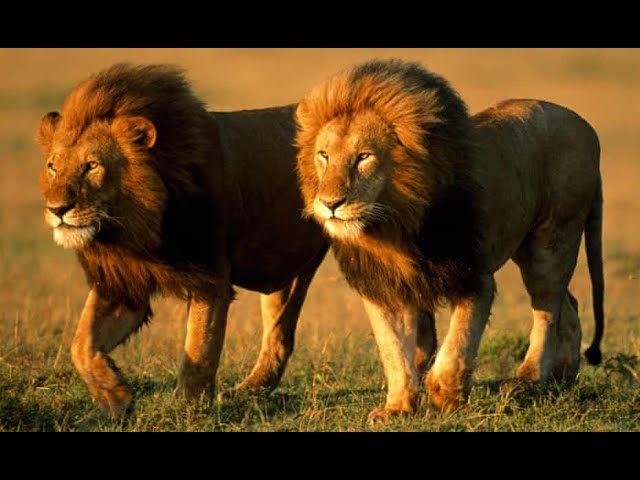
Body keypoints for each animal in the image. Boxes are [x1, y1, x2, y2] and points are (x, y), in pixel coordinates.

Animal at [36, 63, 333, 417]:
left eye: (91, 166)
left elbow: (198, 350)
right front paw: (116, 397)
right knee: (279, 337)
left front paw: (186, 408)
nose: (57, 209)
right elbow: (81, 343)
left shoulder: (210, 278)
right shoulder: (124, 281)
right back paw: (248, 392)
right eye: (53, 167)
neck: (135, 228)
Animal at [295, 59, 604, 421]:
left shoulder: (474, 277)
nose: (330, 203)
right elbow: (393, 352)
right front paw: (397, 407)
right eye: (323, 155)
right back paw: (562, 377)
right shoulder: (384, 287)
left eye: (363, 156)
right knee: (567, 304)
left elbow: (458, 343)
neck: (392, 226)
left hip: (552, 239)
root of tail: (585, 125)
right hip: (528, 247)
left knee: (548, 310)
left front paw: (446, 395)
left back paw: (527, 380)